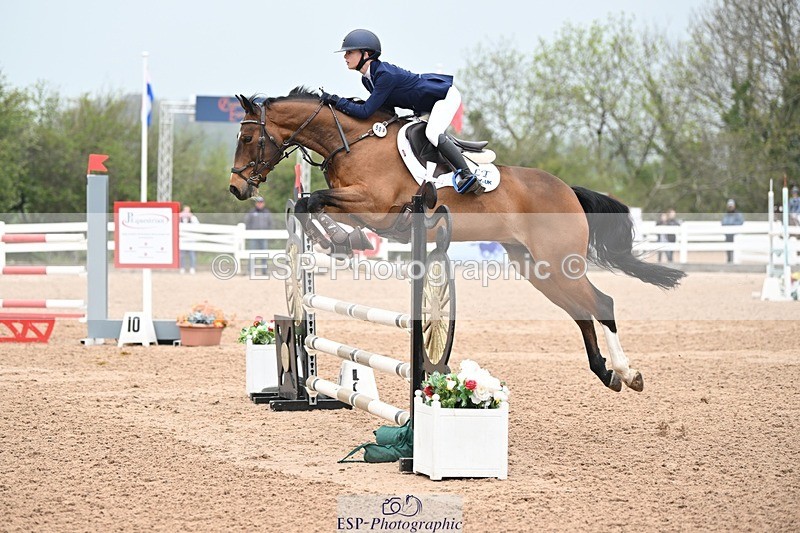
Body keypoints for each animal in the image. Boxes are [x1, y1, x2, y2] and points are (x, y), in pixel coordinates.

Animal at [229, 88, 685, 393]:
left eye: (248, 139)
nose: (237, 188)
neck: (352, 142)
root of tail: (568, 191)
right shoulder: (359, 206)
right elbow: (312, 204)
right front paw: (341, 242)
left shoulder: (375, 205)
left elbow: (313, 200)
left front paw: (341, 243)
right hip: (538, 269)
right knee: (581, 313)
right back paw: (607, 373)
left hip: (558, 263)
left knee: (601, 304)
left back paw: (628, 372)